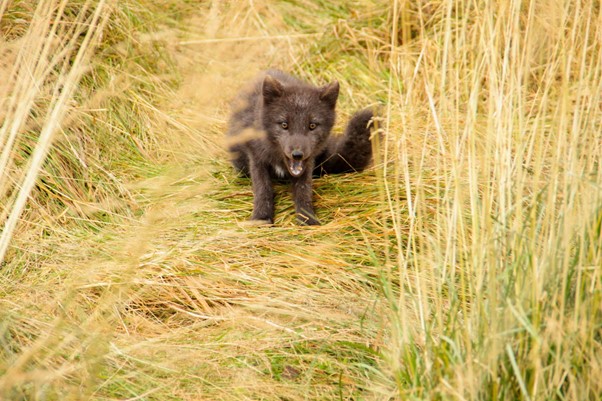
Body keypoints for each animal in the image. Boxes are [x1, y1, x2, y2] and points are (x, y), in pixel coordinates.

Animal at [227, 69, 372, 225]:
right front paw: (261, 219)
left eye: (312, 125)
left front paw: (307, 220)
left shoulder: (307, 164)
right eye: (284, 124)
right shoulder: (256, 158)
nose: (297, 154)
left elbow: (304, 191)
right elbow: (262, 189)